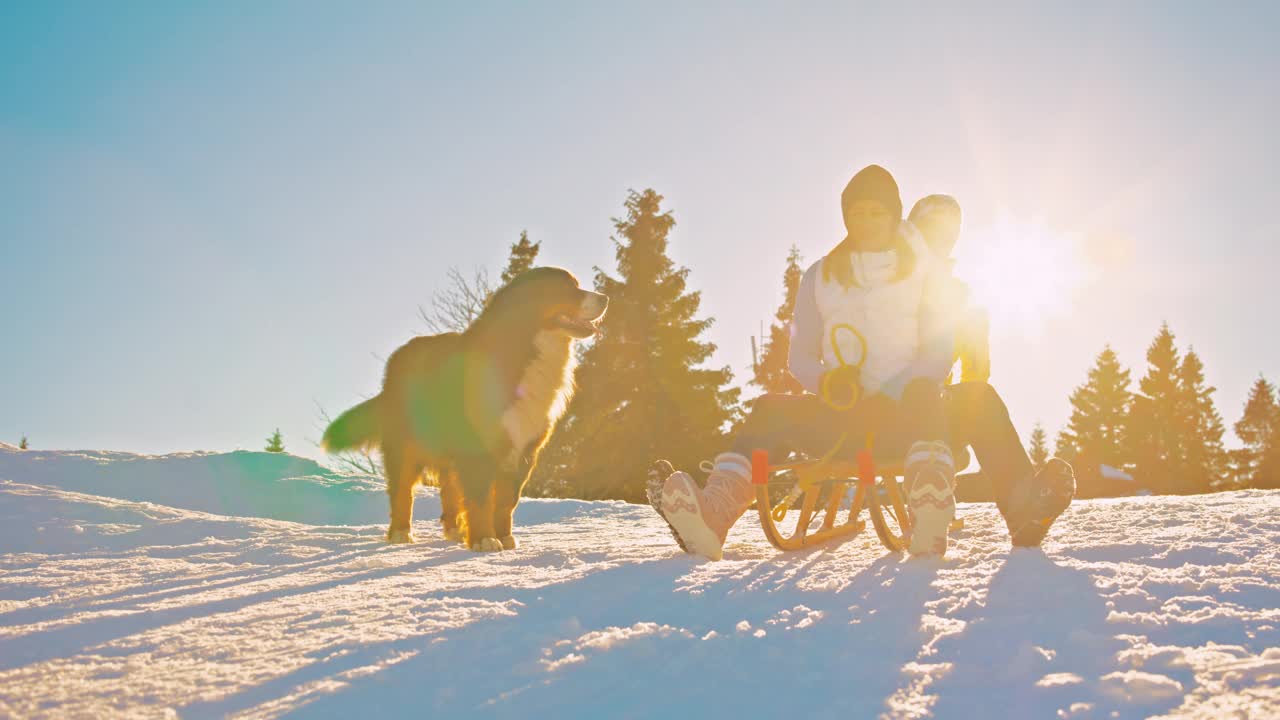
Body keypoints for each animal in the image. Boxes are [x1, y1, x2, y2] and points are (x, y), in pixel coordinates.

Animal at [327, 267, 611, 548]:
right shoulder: (479, 445)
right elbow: (480, 498)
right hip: (408, 443)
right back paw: (401, 533)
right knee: (403, 490)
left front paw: (504, 538)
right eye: (566, 288)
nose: (605, 298)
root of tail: (400, 354)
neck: (525, 348)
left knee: (449, 488)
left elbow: (506, 502)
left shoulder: (524, 448)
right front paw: (485, 539)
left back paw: (453, 530)